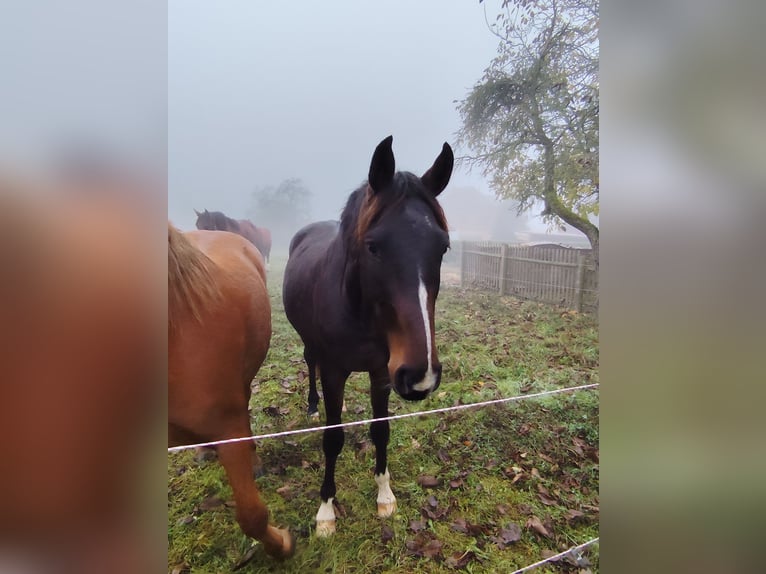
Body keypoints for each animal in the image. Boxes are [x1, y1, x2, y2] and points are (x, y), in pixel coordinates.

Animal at [282, 136, 453, 536]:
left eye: (443, 247)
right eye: (374, 247)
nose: (420, 376)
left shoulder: (382, 373)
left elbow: (381, 431)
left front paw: (385, 495)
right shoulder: (334, 372)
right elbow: (333, 438)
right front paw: (326, 511)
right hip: (311, 347)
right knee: (310, 363)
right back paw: (313, 405)